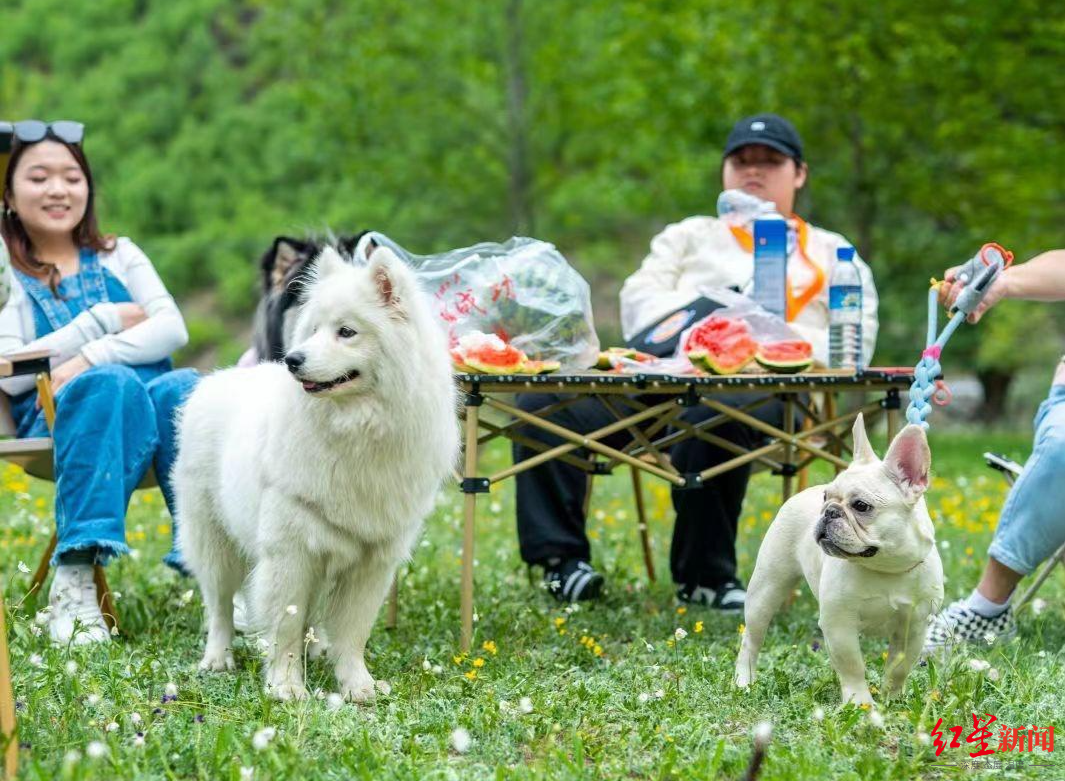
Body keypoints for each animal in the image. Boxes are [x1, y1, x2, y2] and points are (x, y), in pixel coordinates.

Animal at [174, 247, 457, 698]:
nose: (293, 360)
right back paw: (218, 659)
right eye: (312, 330)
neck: (356, 430)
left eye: (346, 332)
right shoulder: (290, 551)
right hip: (213, 539)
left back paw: (318, 650)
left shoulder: (372, 559)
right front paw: (287, 687)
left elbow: (352, 632)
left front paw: (358, 686)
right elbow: (286, 626)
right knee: (218, 606)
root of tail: (215, 380)